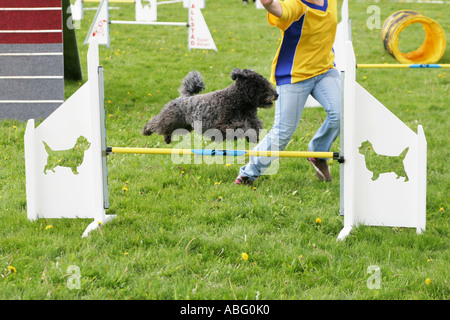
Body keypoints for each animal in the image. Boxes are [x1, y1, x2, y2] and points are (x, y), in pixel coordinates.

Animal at [143, 68, 278, 144]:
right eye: (258, 84)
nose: (276, 95)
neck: (237, 102)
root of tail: (184, 97)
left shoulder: (253, 121)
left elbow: (255, 127)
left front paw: (253, 138)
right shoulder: (222, 125)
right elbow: (242, 127)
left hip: (184, 125)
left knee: (167, 131)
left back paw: (167, 139)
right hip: (169, 119)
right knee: (156, 123)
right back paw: (146, 130)